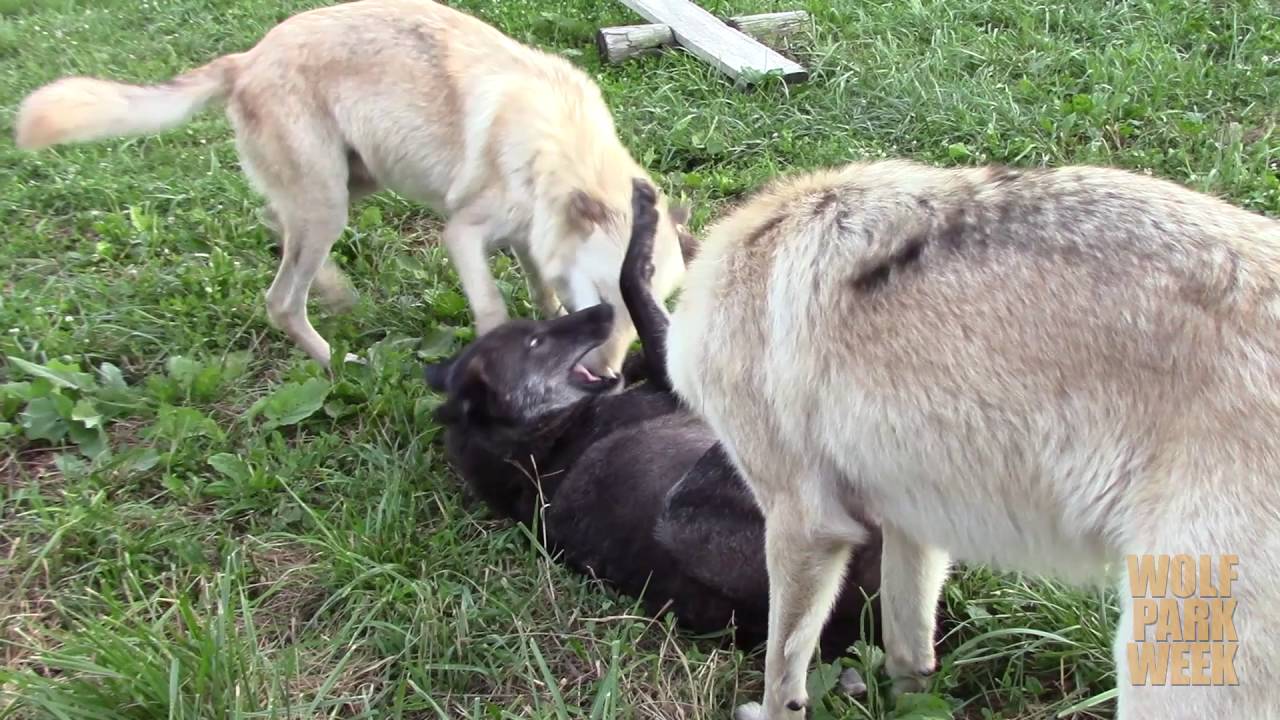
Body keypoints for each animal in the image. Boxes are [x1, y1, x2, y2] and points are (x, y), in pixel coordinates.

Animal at [13, 0, 691, 376]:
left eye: (645, 316)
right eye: (609, 300)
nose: (611, 378)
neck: (563, 149)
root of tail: (245, 58)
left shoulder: (532, 237)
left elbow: (542, 292)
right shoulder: (463, 234)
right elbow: (493, 307)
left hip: (348, 185)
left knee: (275, 225)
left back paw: (337, 295)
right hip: (330, 204)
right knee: (282, 299)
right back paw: (342, 362)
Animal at [424, 180, 893, 681]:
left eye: (536, 329)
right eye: (536, 342)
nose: (600, 311)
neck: (539, 447)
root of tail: (856, 623)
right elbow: (634, 283)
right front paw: (646, 221)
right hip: (701, 501)